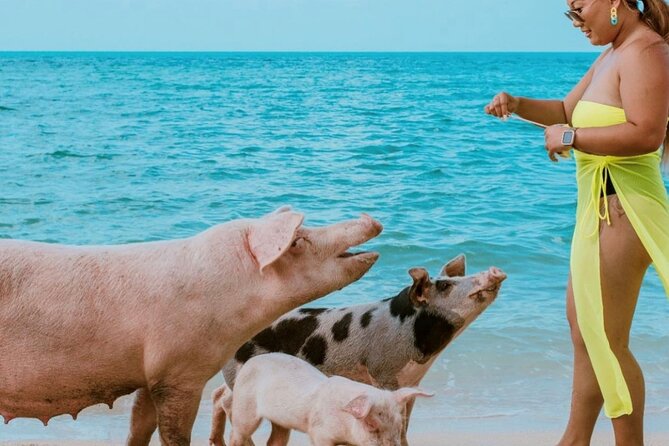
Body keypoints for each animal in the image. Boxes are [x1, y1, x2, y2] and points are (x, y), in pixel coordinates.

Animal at [0, 207, 382, 446]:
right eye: (298, 240)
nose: (371, 218)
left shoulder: (150, 373)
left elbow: (139, 427)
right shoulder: (181, 371)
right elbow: (173, 433)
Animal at [228, 353, 432, 446]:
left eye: (399, 425)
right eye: (371, 425)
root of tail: (250, 361)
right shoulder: (319, 433)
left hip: (281, 422)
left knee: (275, 439)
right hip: (244, 406)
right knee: (238, 432)